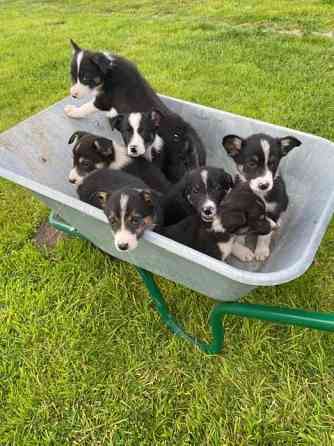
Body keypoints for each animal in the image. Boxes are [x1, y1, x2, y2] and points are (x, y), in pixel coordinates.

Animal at [222, 132, 302, 262]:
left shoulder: (273, 210)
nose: (264, 185)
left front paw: (261, 251)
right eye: (251, 164)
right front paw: (242, 249)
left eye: (272, 163)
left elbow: (266, 234)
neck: (259, 194)